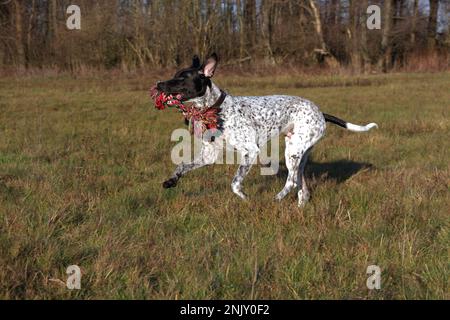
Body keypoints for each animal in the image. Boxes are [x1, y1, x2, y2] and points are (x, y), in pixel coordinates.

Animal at [156, 53, 378, 206]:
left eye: (182, 78)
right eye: (174, 75)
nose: (158, 84)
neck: (216, 109)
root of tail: (320, 112)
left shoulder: (249, 151)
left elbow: (235, 183)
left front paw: (245, 197)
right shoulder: (208, 154)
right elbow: (182, 166)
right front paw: (171, 181)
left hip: (292, 152)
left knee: (291, 183)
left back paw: (277, 198)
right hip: (298, 155)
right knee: (301, 188)